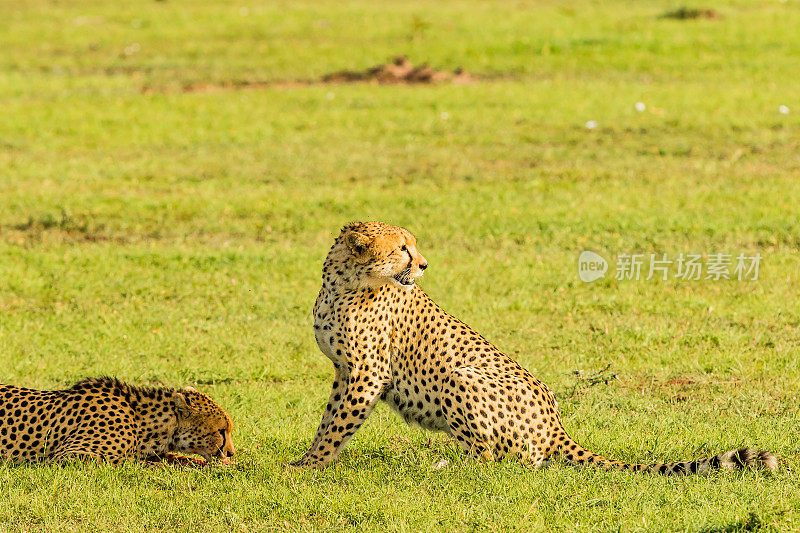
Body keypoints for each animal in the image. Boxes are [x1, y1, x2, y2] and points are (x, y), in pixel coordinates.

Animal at [292, 221, 776, 474]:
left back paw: (447, 467)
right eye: (402, 249)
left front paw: (307, 467)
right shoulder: (345, 372)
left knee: (505, 460)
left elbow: (336, 425)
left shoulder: (365, 374)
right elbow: (329, 421)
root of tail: (556, 422)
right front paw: (309, 462)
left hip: (460, 377)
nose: (425, 264)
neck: (344, 283)